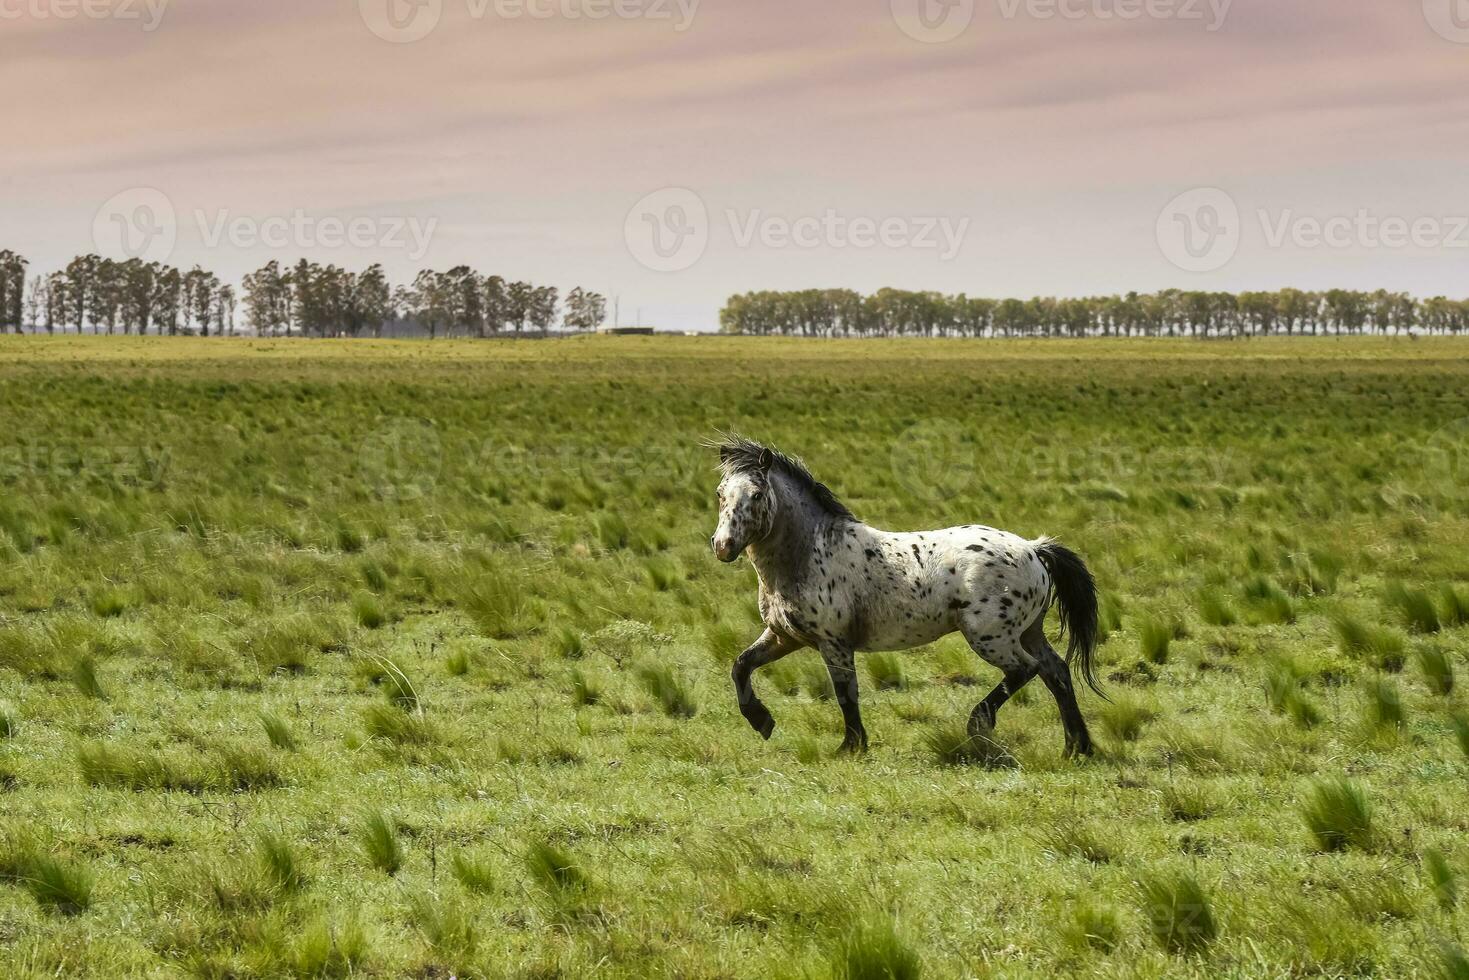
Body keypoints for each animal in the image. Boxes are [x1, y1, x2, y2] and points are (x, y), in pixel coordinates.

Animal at [710, 434, 1104, 758]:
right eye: (719, 493)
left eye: (756, 494)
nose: (723, 545)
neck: (809, 552)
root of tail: (1035, 549)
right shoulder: (784, 636)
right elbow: (741, 666)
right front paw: (761, 721)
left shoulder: (833, 642)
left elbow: (845, 692)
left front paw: (851, 747)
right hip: (1028, 632)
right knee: (1057, 673)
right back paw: (1076, 748)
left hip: (991, 637)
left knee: (1026, 669)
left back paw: (979, 724)